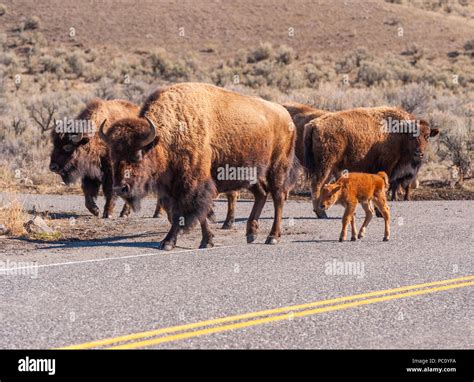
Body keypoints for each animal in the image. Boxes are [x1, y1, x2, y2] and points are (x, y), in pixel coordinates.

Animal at [100, 83, 298, 251]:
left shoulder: (193, 184)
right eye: (113, 156)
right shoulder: (173, 188)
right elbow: (185, 213)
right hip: (250, 173)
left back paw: (272, 237)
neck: (168, 135)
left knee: (278, 198)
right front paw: (200, 240)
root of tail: (285, 114)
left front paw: (172, 242)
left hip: (277, 167)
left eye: (137, 155)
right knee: (261, 194)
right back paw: (251, 233)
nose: (120, 188)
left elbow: (189, 211)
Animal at [306, 106, 438, 218]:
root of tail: (314, 124)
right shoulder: (387, 166)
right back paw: (321, 213)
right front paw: (380, 212)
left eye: (427, 136)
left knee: (324, 185)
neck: (399, 134)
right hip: (325, 166)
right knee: (317, 185)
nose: (419, 153)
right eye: (412, 135)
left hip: (331, 168)